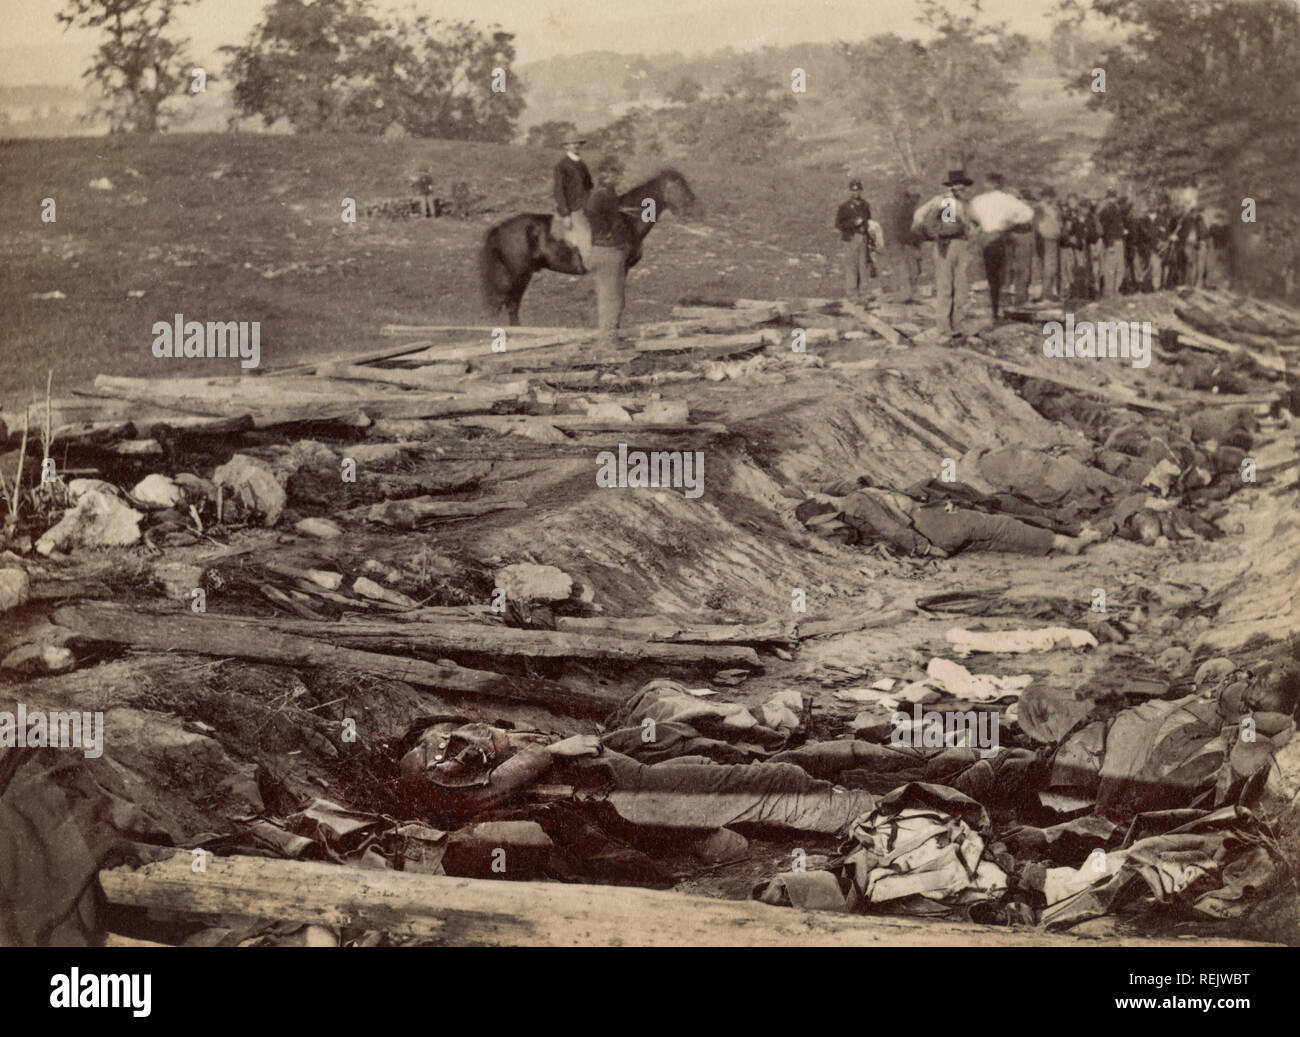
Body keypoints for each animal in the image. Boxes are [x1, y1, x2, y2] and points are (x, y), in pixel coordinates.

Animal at [478, 168, 702, 322]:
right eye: (678, 185)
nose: (695, 211)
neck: (624, 220)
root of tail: (500, 228)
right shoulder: (618, 267)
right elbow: (616, 301)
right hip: (518, 275)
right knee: (509, 305)